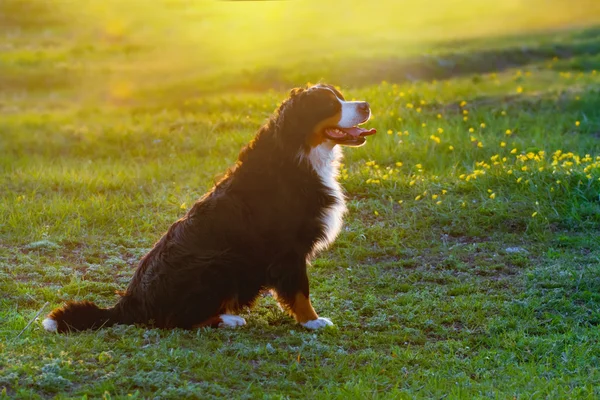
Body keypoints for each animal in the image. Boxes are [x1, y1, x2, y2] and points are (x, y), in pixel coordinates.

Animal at [43, 83, 376, 332]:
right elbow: (300, 291)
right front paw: (313, 321)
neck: (298, 155)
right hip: (219, 260)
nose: (366, 105)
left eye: (341, 97)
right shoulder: (288, 249)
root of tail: (131, 300)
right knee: (175, 321)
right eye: (330, 105)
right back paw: (229, 319)